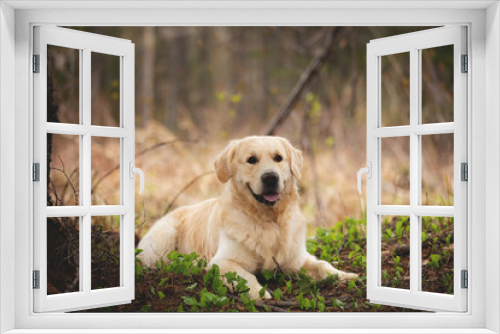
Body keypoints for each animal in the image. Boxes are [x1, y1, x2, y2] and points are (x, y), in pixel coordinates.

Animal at [139, 136, 358, 300]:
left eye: (278, 158)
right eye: (251, 159)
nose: (270, 177)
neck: (270, 221)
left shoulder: (297, 258)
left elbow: (322, 265)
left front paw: (346, 276)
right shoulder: (222, 262)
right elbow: (246, 277)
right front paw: (259, 293)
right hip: (163, 238)